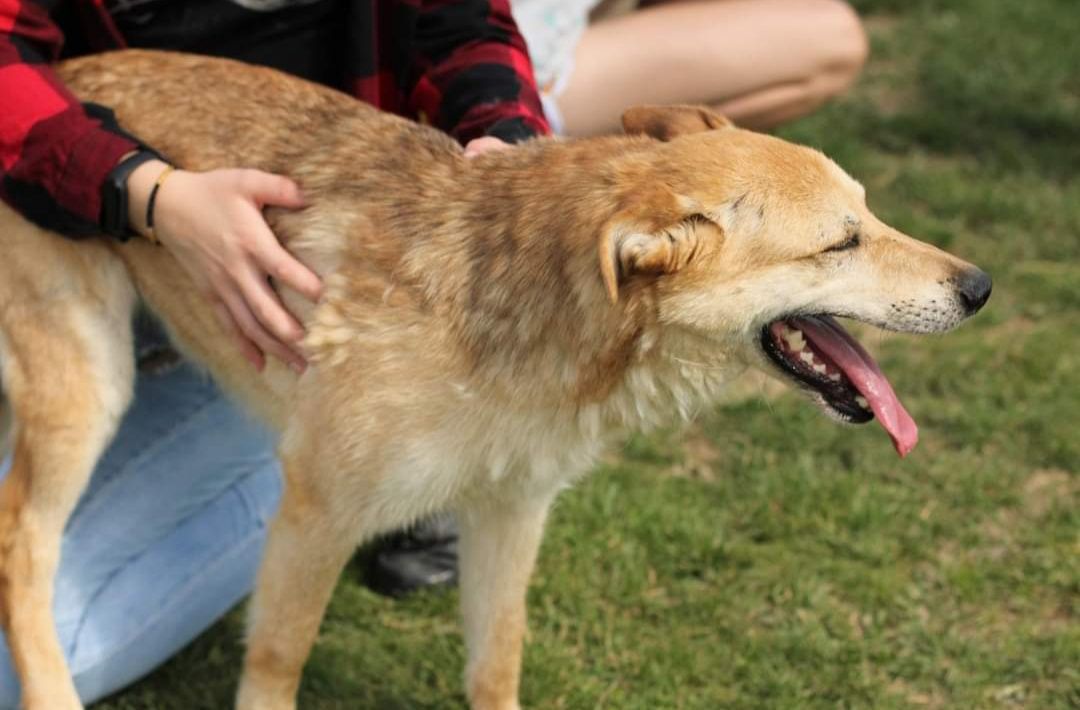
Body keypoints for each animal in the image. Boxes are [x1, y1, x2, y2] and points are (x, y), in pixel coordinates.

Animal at [0, 51, 989, 708]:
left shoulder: (512, 513)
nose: (980, 287)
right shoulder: (315, 514)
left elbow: (496, 661)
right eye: (839, 243)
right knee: (23, 546)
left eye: (871, 215)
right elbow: (279, 662)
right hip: (88, 390)